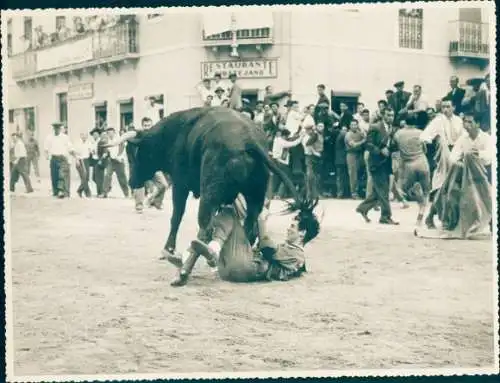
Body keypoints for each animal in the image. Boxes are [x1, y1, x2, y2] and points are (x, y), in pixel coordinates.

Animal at [112, 106, 308, 255]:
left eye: (135, 154)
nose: (131, 182)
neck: (175, 133)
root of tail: (250, 140)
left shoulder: (180, 185)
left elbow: (177, 216)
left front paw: (168, 249)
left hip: (210, 194)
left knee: (205, 222)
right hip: (255, 195)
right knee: (249, 222)